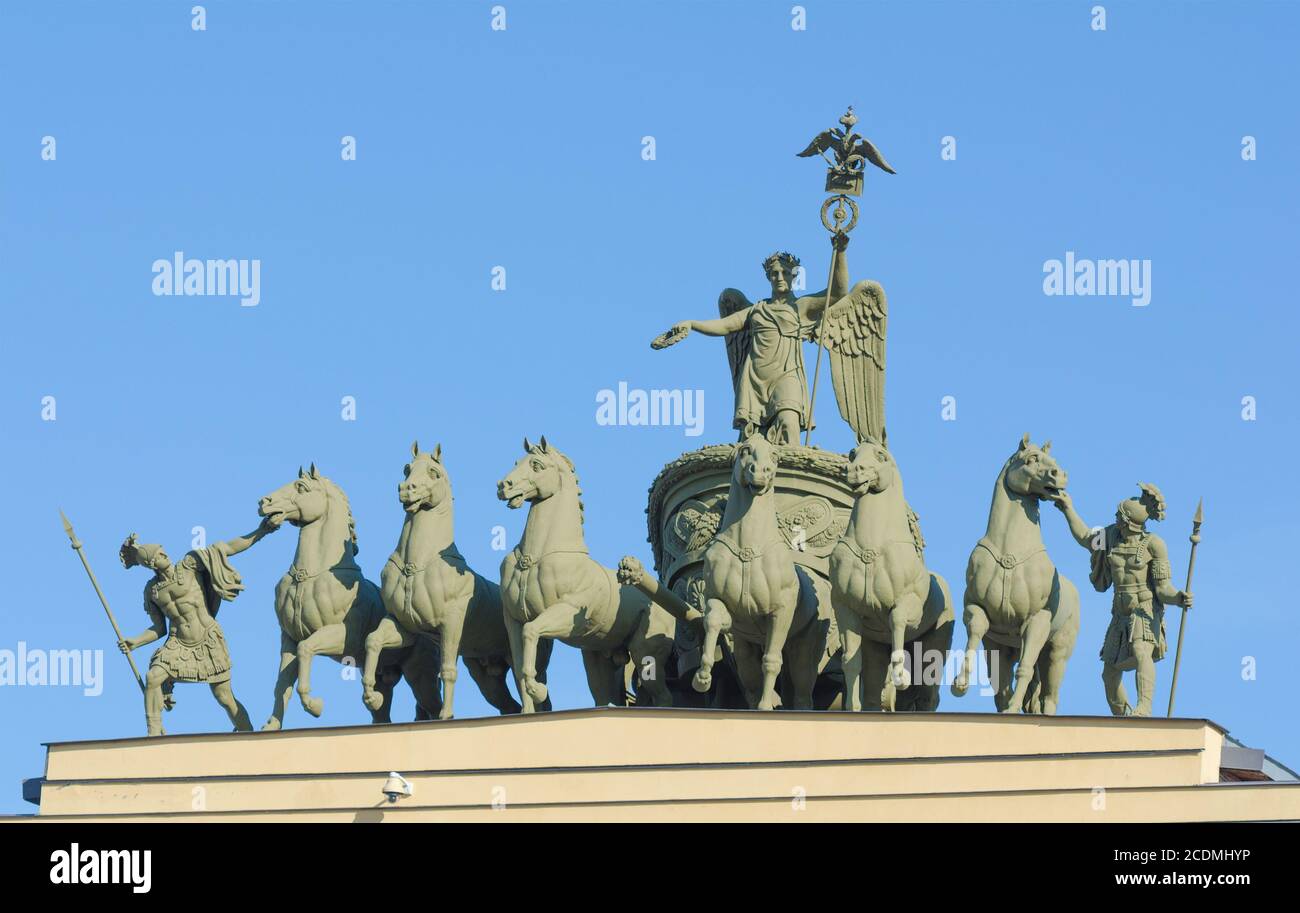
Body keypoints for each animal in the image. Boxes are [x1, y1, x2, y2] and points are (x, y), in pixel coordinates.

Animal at [258, 465, 441, 728]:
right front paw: (271, 726)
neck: (310, 576)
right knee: (382, 712)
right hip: (384, 678)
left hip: (420, 673)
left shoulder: (344, 636)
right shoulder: (289, 639)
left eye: (301, 487)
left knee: (434, 706)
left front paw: (315, 706)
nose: (264, 502)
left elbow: (306, 649)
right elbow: (282, 684)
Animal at [493, 436, 676, 717]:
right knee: (604, 696)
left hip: (646, 653)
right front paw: (527, 712)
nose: (504, 486)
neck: (536, 555)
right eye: (516, 462)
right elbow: (520, 665)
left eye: (536, 465)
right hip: (597, 657)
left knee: (663, 697)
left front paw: (539, 689)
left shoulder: (566, 612)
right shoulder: (512, 619)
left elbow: (531, 633)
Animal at [691, 436, 821, 717]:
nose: (761, 472)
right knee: (750, 678)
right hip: (746, 649)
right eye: (745, 450)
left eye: (775, 455)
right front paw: (702, 677)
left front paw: (765, 707)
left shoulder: (780, 612)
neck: (748, 545)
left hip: (804, 644)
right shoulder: (723, 603)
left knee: (803, 687)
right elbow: (713, 621)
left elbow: (771, 660)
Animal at [832, 442, 956, 717]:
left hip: (935, 646)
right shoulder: (847, 610)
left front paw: (900, 675)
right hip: (876, 648)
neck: (871, 546)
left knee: (929, 695)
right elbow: (850, 660)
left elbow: (897, 619)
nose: (854, 471)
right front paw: (851, 708)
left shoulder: (909, 604)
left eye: (880, 455)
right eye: (853, 454)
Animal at [951, 436, 1081, 717]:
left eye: (1053, 460)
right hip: (1004, 647)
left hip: (1057, 651)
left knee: (1050, 695)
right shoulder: (977, 610)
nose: (1060, 475)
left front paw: (1013, 708)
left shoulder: (1037, 619)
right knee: (1003, 684)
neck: (1010, 550)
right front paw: (960, 684)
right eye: (1031, 459)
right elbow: (976, 631)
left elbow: (1025, 668)